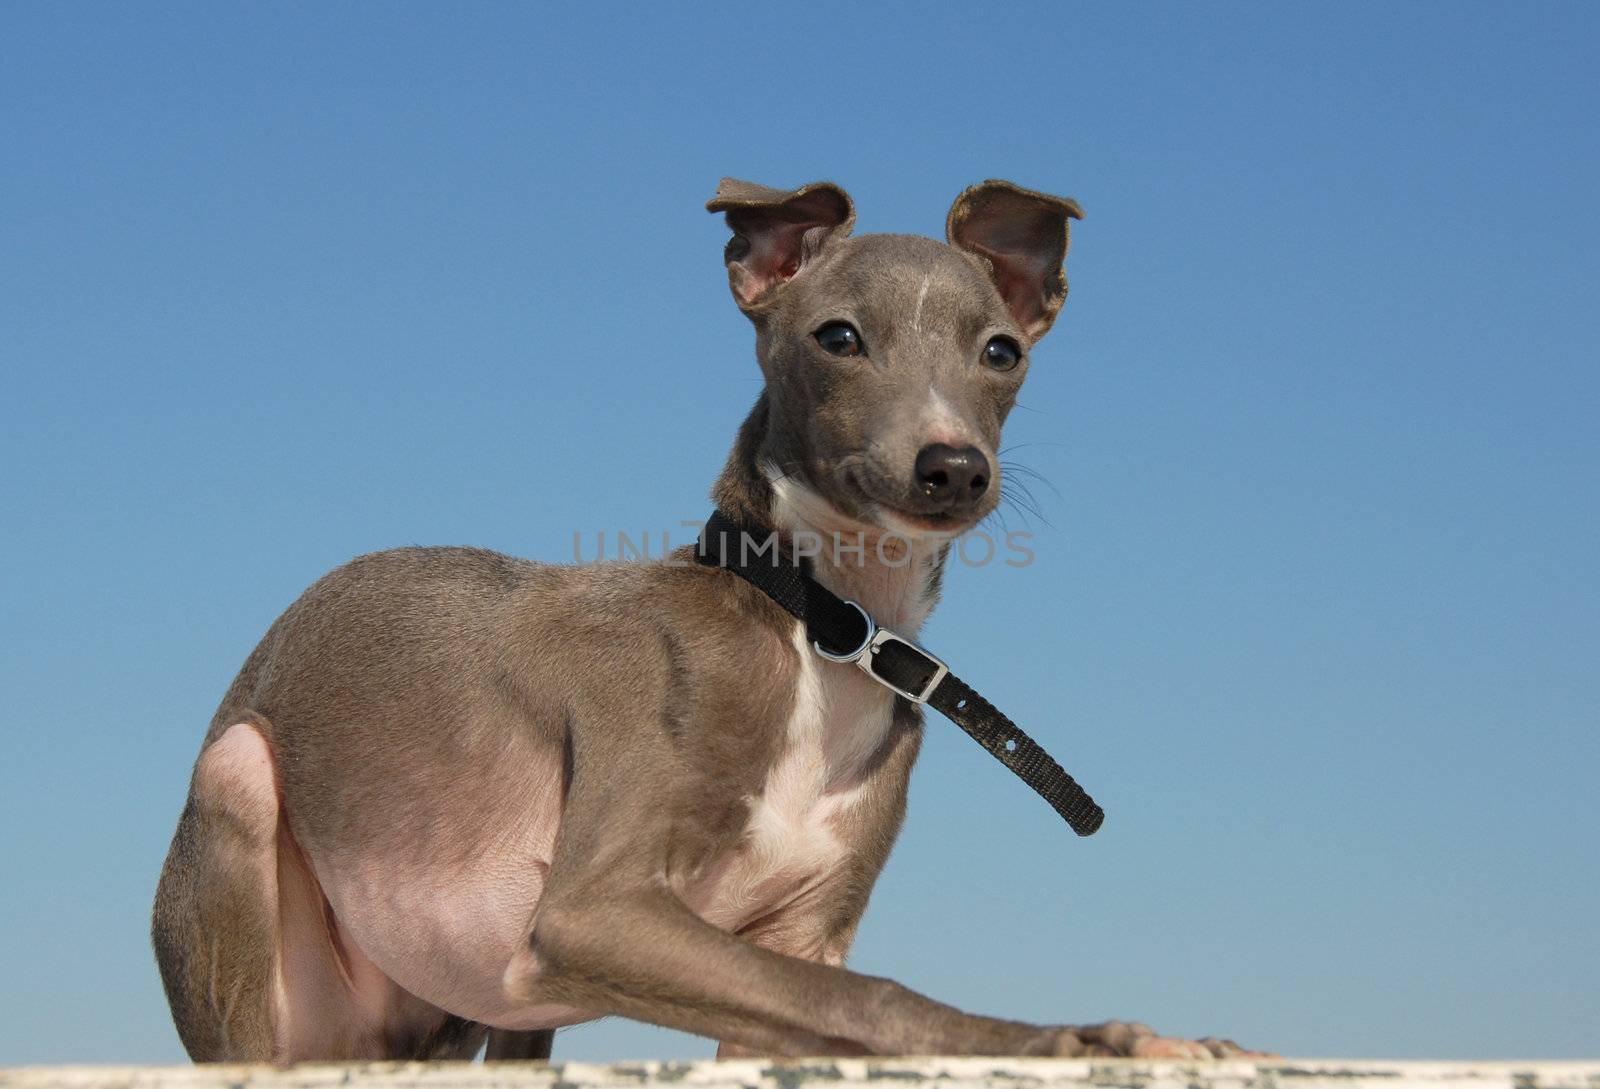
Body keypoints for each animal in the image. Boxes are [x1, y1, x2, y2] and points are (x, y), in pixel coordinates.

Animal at [159, 178, 1260, 1061]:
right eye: (839, 337)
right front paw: (1086, 1036)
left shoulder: (795, 936)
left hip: (485, 1020)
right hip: (241, 797)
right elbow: (871, 997)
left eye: (1001, 352)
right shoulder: (592, 913)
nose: (951, 468)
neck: (823, 629)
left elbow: (821, 1001)